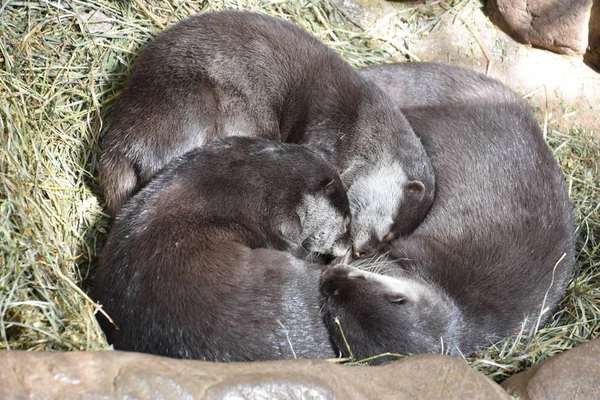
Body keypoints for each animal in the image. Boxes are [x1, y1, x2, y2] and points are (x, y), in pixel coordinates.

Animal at [99, 11, 436, 256]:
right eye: (388, 232)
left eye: (391, 240)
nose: (364, 252)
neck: (362, 130)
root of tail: (122, 141)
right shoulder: (330, 126)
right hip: (188, 105)